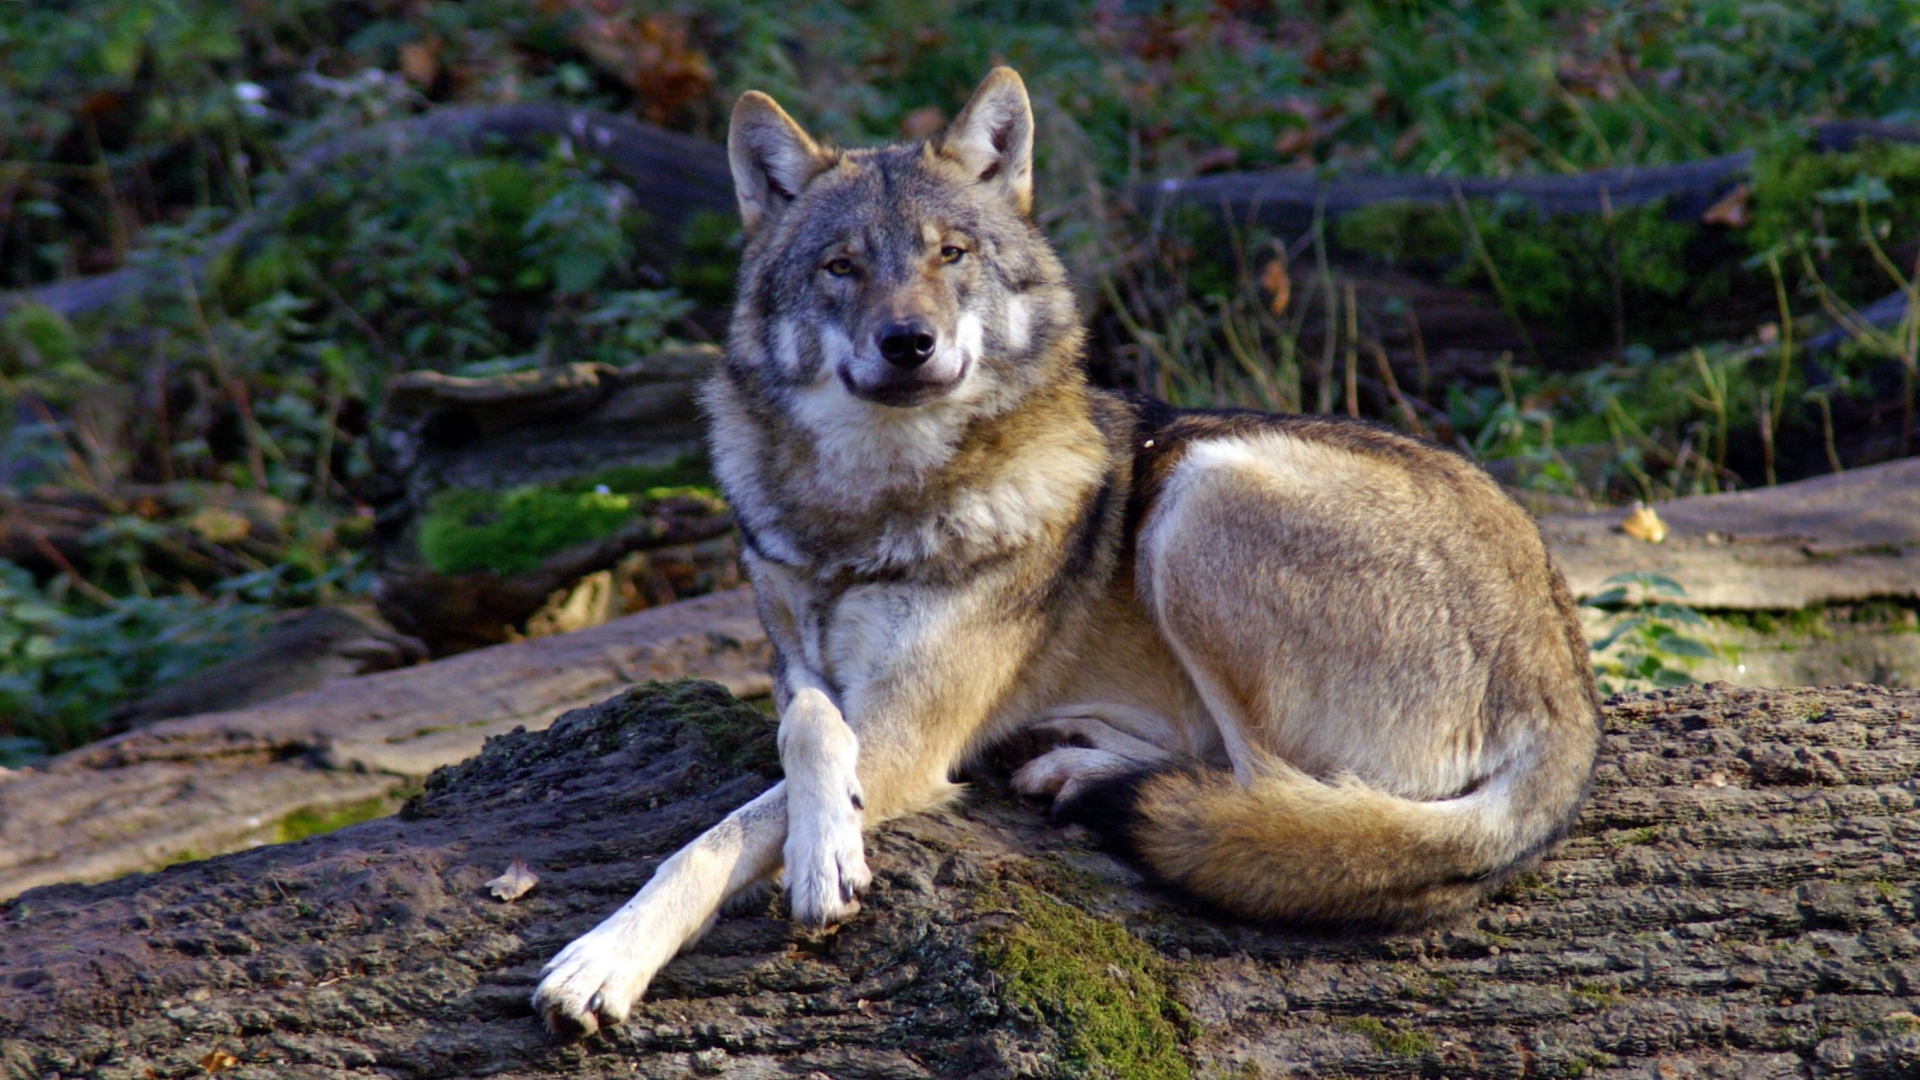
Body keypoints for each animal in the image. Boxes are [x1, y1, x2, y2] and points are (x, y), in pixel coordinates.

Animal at [529, 67, 1605, 1037]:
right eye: (841, 266)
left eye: (951, 253)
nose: (909, 341)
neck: (868, 507)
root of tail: (1570, 685)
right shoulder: (805, 670)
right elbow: (803, 727)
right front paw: (810, 837)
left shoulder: (912, 732)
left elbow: (725, 832)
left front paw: (625, 948)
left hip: (1203, 489)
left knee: (1273, 797)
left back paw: (1089, 777)